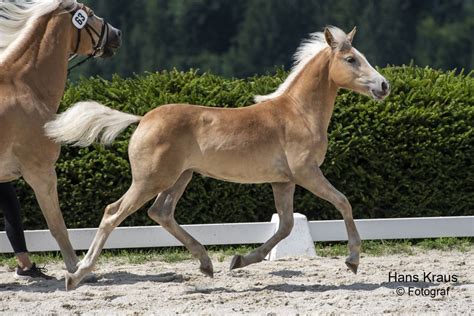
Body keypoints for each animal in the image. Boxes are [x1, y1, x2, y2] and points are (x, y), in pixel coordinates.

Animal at [0, 0, 121, 274]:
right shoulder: (41, 172)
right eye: (90, 15)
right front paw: (76, 268)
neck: (25, 87)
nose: (117, 34)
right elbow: (57, 226)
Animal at [46, 25, 390, 290]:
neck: (298, 113)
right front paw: (352, 260)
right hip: (151, 180)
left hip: (180, 177)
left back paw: (206, 263)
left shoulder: (283, 181)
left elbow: (286, 226)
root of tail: (143, 118)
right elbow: (343, 201)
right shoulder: (307, 173)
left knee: (161, 212)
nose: (384, 85)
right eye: (351, 59)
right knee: (113, 213)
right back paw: (77, 275)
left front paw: (239, 261)